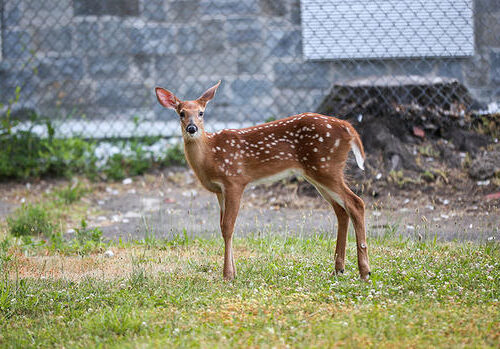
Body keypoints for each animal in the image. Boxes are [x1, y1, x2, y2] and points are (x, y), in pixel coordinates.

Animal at [156, 80, 372, 278]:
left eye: (201, 112)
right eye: (181, 113)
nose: (192, 128)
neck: (210, 155)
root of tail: (348, 127)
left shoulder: (235, 180)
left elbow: (228, 227)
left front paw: (227, 274)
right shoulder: (219, 191)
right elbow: (223, 226)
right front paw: (233, 272)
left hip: (326, 167)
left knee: (356, 203)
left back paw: (364, 271)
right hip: (319, 173)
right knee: (341, 210)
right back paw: (339, 268)